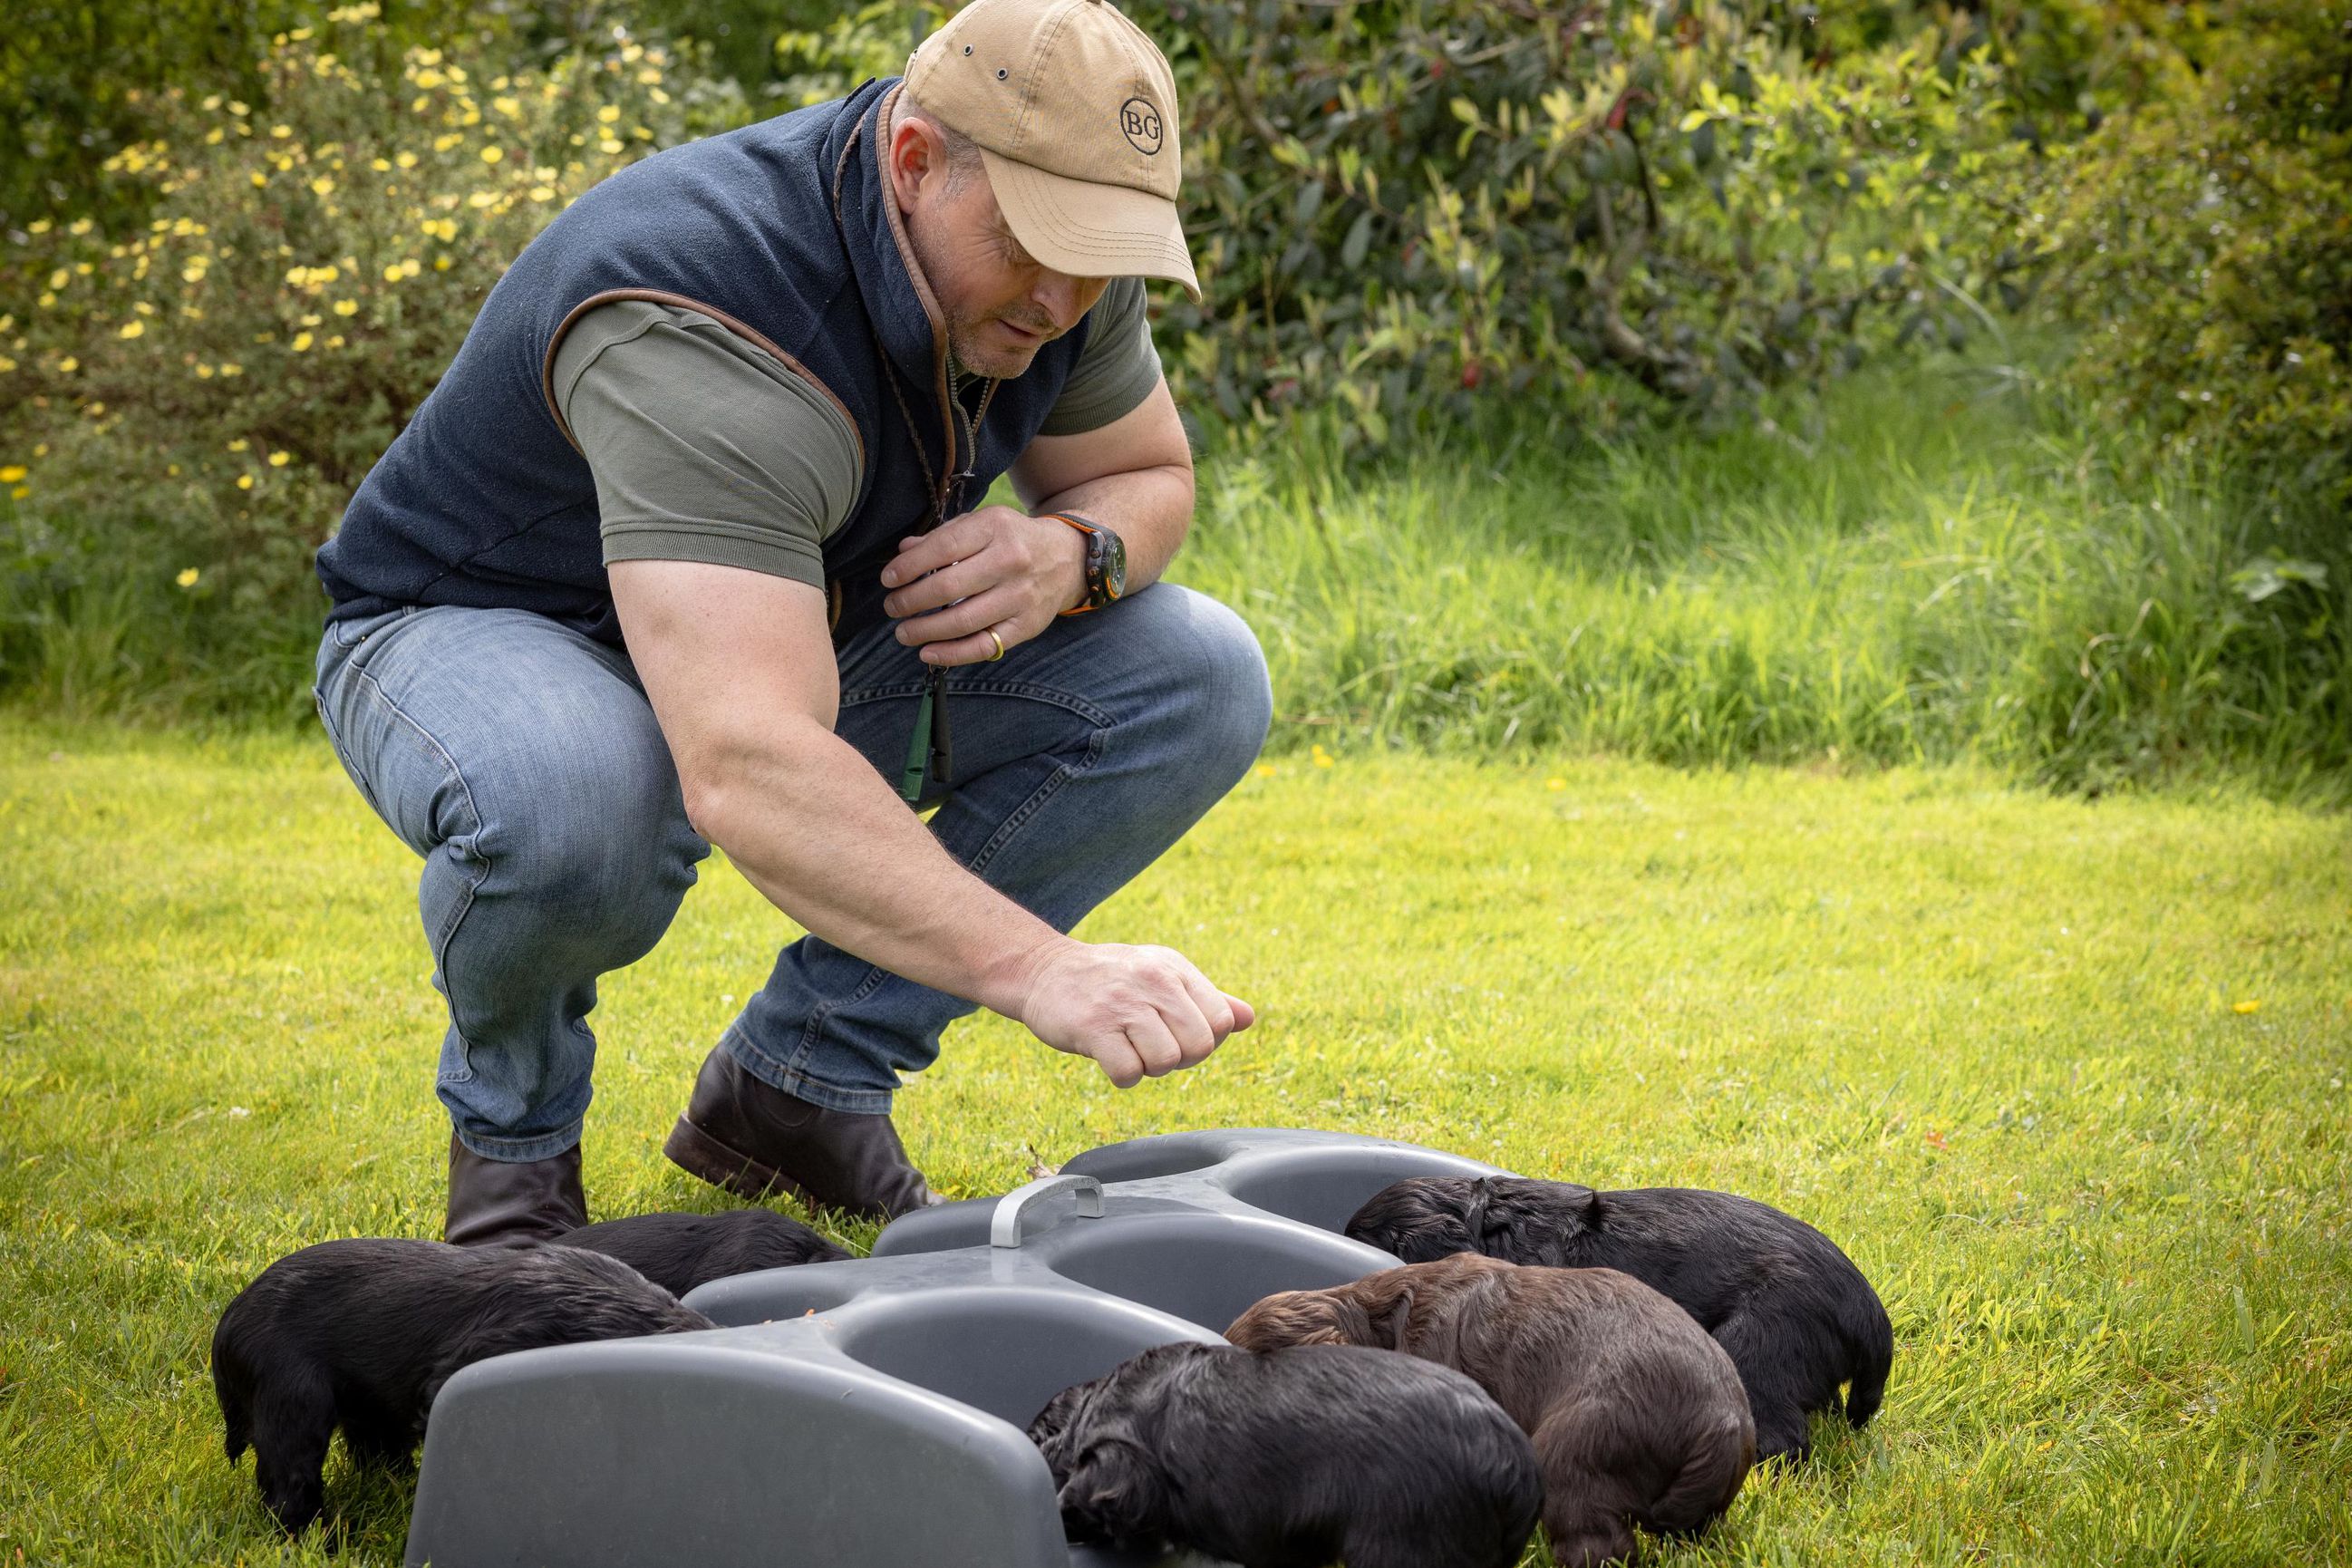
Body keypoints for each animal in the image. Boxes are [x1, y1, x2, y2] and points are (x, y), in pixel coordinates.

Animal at [210, 1241, 705, 1533]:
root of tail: (230, 1320)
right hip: (295, 1403)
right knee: (288, 1485)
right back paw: (317, 1538)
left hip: (366, 1407)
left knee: (373, 1452)